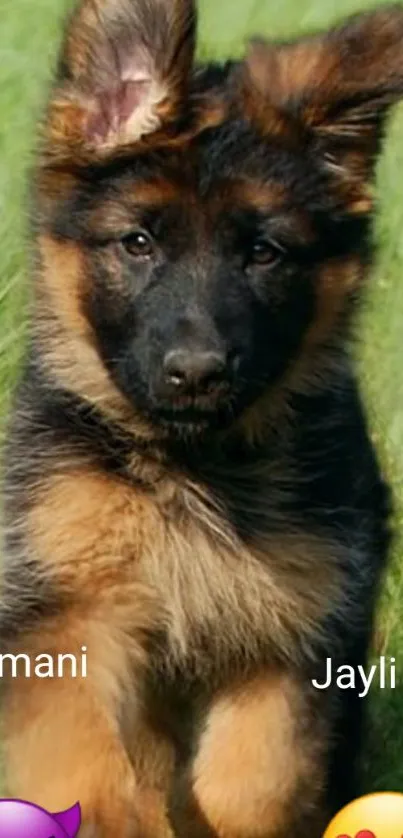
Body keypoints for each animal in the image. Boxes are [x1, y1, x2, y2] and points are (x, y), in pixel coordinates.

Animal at [1, 0, 402, 836]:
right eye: (137, 242)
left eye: (264, 252)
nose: (196, 373)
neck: (193, 466)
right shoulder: (64, 615)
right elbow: (85, 760)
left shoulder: (291, 635)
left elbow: (249, 783)